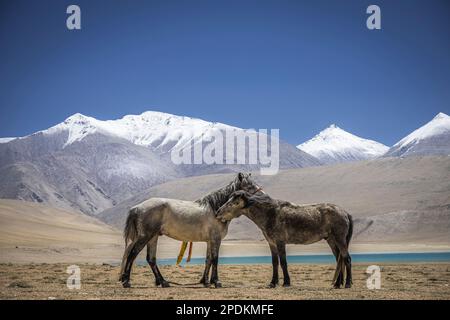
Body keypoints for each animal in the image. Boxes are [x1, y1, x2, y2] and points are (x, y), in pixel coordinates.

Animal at [216, 191, 354, 288]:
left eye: (234, 203)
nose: (217, 213)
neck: (270, 214)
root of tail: (345, 213)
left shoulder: (280, 242)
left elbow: (283, 262)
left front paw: (286, 282)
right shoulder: (272, 243)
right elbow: (275, 263)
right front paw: (273, 283)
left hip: (340, 240)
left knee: (346, 259)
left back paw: (347, 283)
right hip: (331, 240)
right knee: (339, 260)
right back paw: (337, 284)